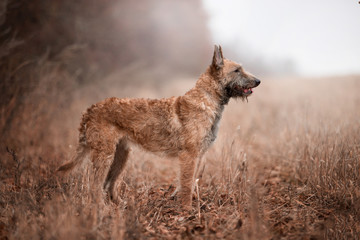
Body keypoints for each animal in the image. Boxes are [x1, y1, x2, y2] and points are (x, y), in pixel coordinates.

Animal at [59, 44, 262, 208]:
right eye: (237, 70)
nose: (258, 81)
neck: (207, 99)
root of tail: (90, 110)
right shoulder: (189, 156)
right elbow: (187, 185)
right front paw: (187, 210)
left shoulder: (198, 155)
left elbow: (191, 183)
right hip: (105, 155)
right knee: (95, 186)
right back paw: (102, 208)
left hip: (121, 155)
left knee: (108, 184)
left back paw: (120, 205)